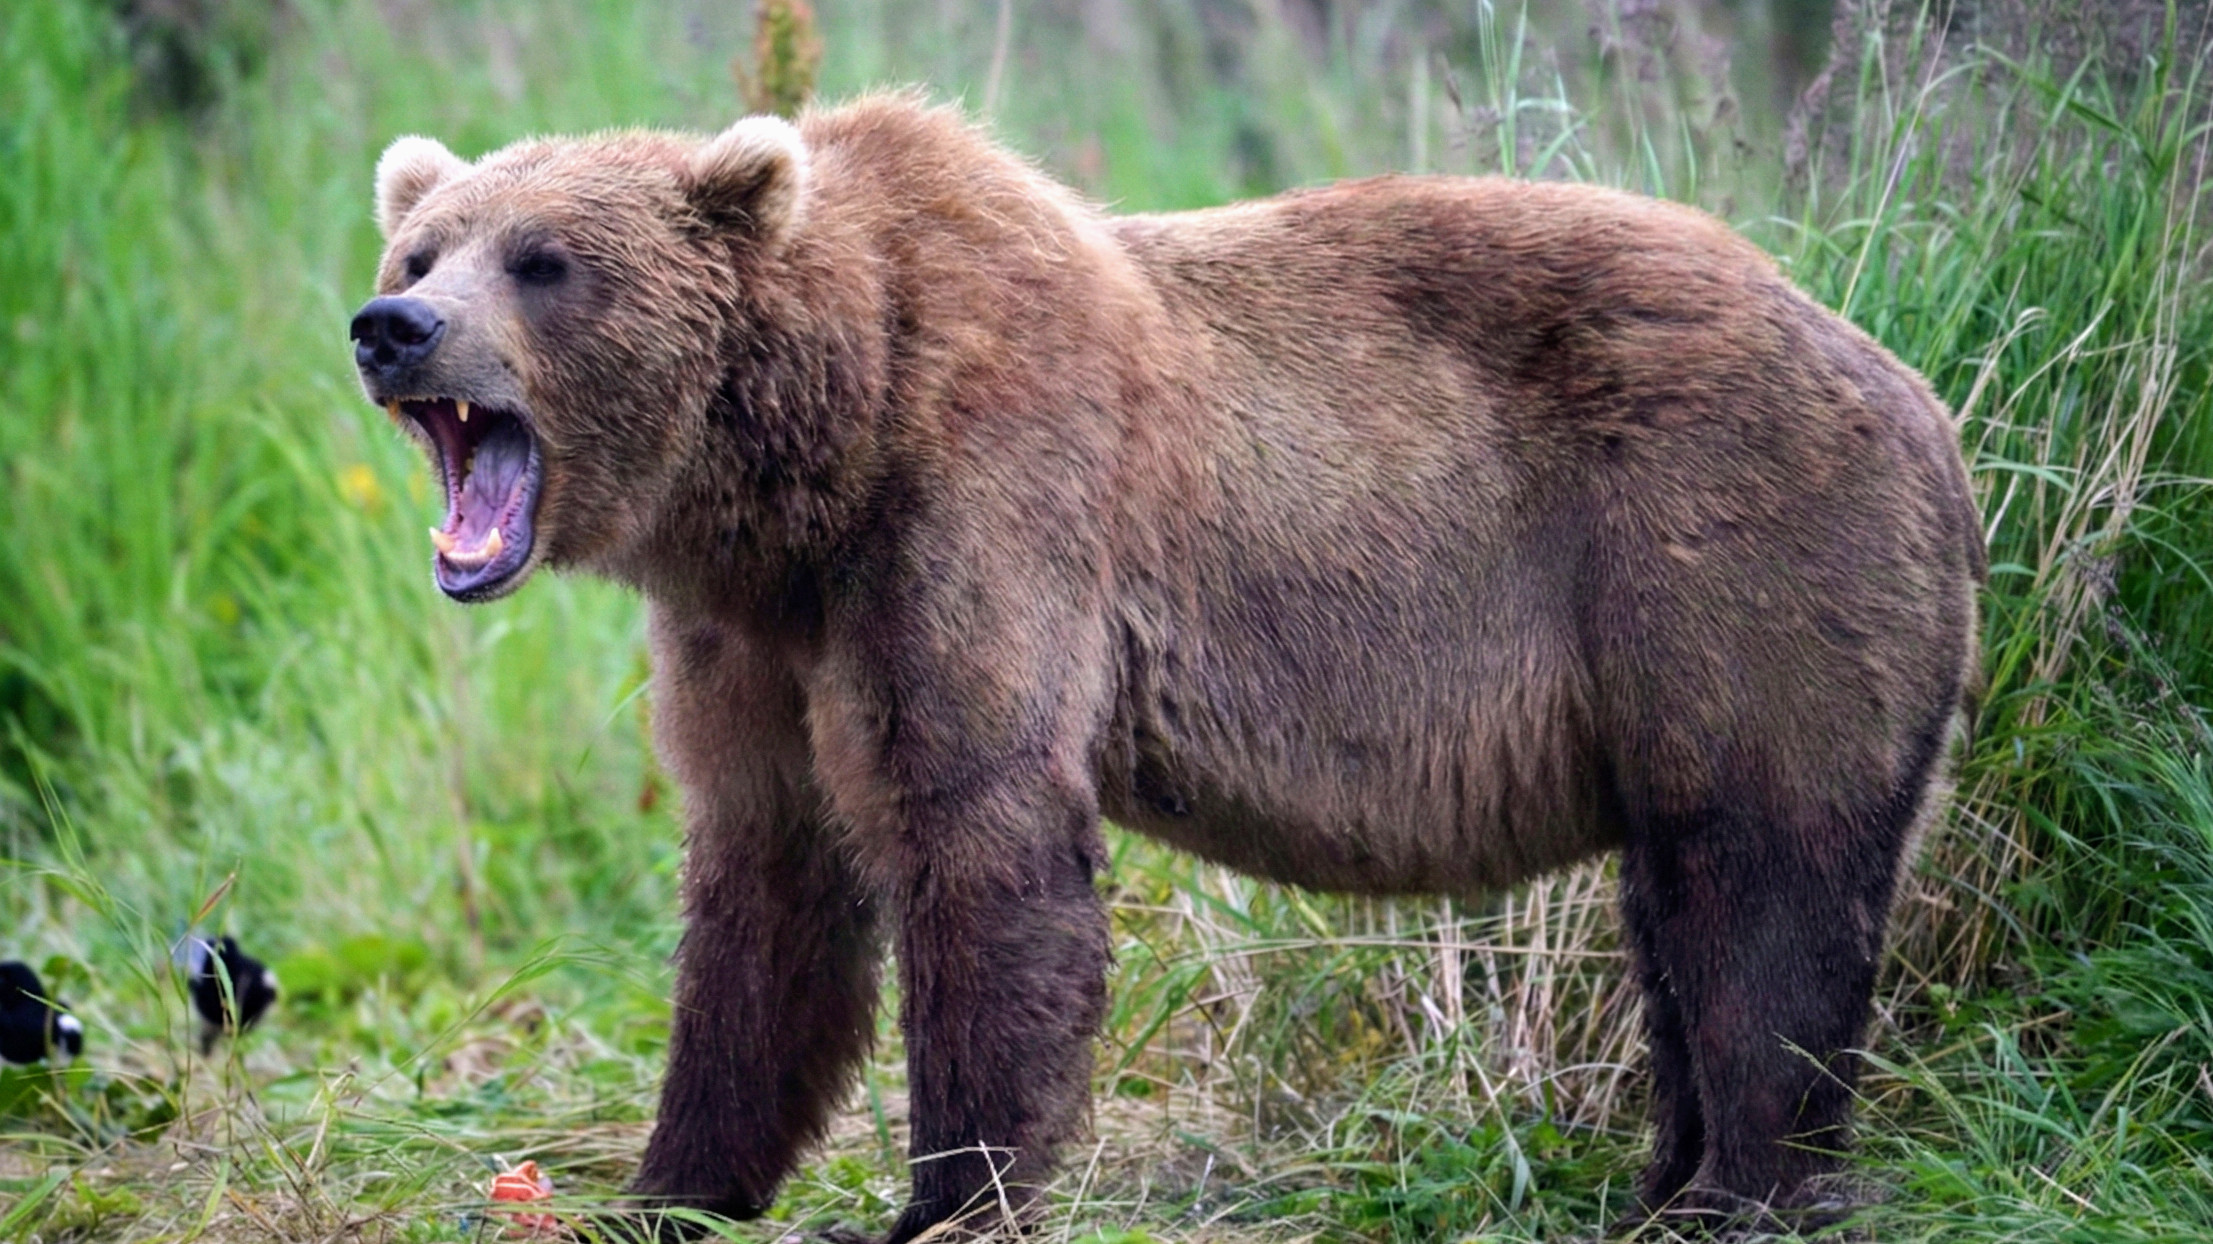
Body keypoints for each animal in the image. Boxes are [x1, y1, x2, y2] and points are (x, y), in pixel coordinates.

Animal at [351, 95, 1984, 1240]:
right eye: (424, 247)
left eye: (545, 260)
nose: (393, 326)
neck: (813, 450)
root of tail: (1918, 393)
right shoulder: (751, 635)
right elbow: (765, 895)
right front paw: (669, 1188)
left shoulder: (984, 508)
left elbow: (980, 839)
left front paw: (945, 1198)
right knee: (1678, 900)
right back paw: (1668, 1174)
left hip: (1725, 552)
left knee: (1763, 876)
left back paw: (1740, 1187)